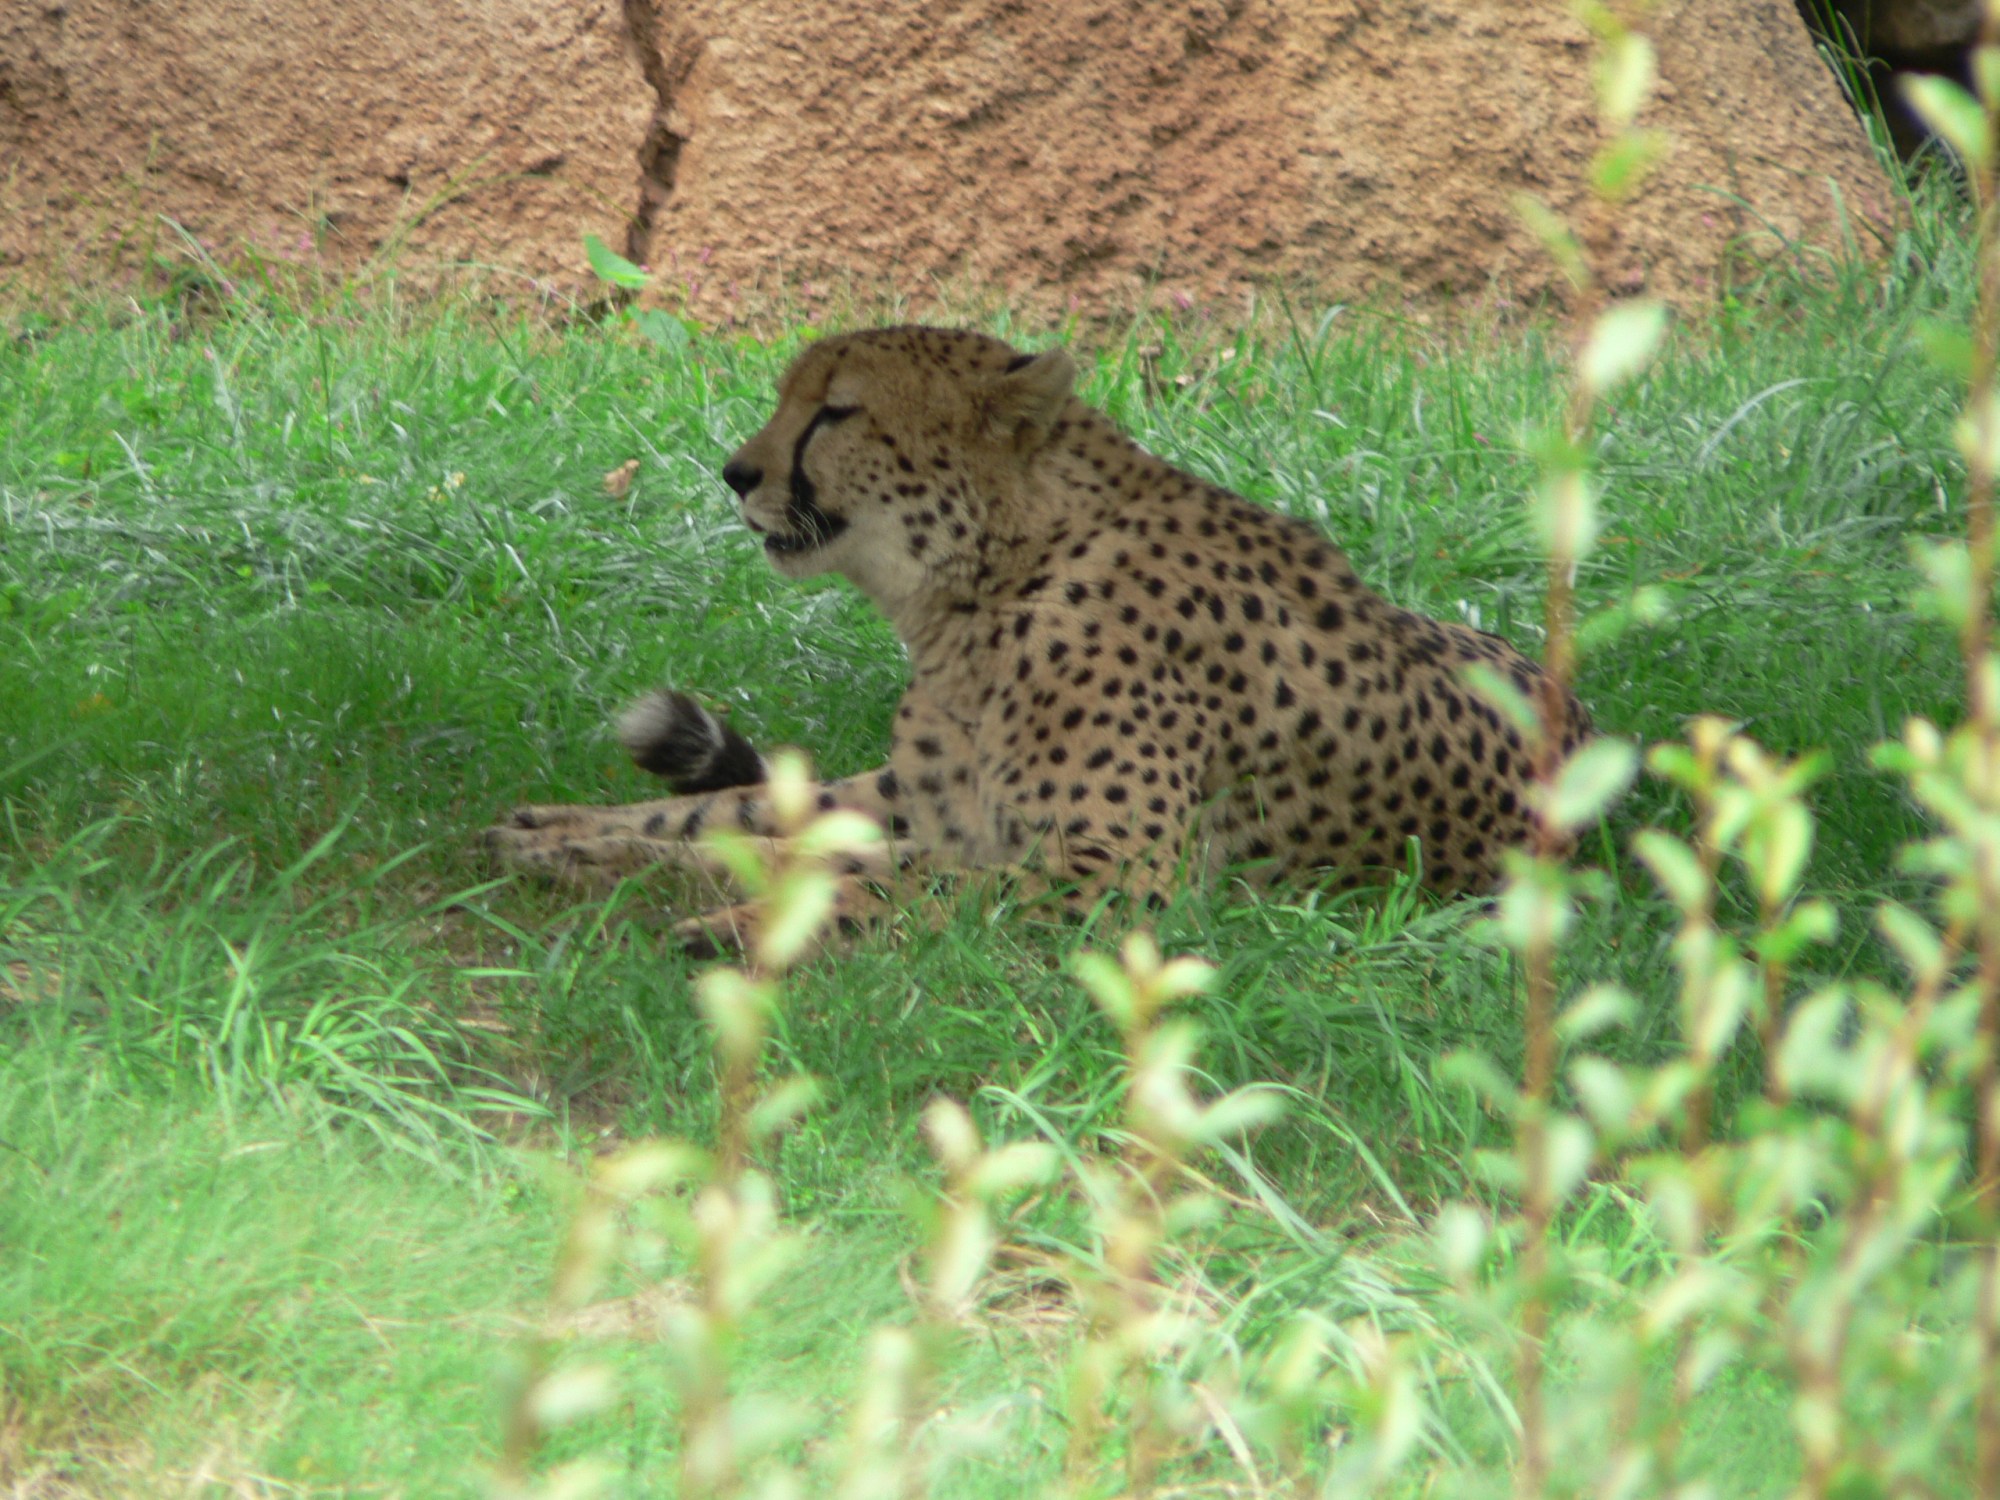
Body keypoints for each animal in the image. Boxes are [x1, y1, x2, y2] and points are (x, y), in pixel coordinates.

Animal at [487, 325, 1588, 949]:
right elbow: (741, 819)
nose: (735, 473)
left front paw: (731, 923)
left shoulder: (1121, 874)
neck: (992, 583)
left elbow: (887, 877)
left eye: (835, 412)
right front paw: (567, 839)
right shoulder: (927, 799)